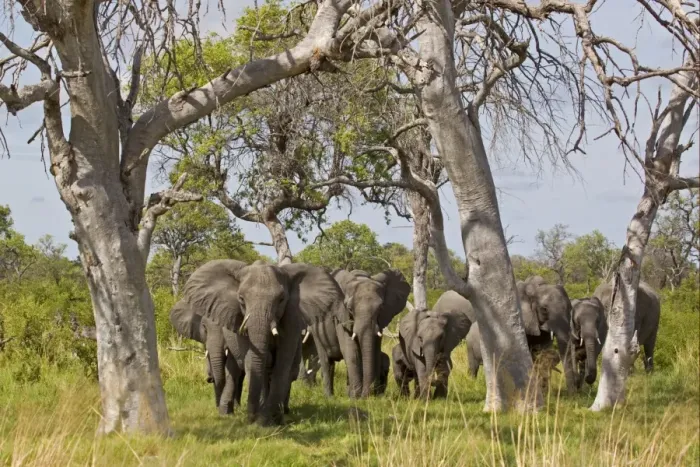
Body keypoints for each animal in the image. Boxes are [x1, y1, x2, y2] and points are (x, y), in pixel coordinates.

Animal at [171, 259, 345, 425]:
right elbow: (254, 361)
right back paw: (228, 412)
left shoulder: (291, 316)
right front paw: (260, 418)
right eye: (241, 299)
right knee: (235, 370)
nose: (252, 417)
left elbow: (283, 363)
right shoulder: (240, 322)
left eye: (281, 299)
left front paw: (269, 419)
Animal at [331, 268, 411, 397]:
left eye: (381, 308)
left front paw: (373, 395)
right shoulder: (340, 316)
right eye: (349, 309)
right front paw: (355, 396)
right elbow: (350, 349)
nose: (365, 395)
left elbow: (375, 349)